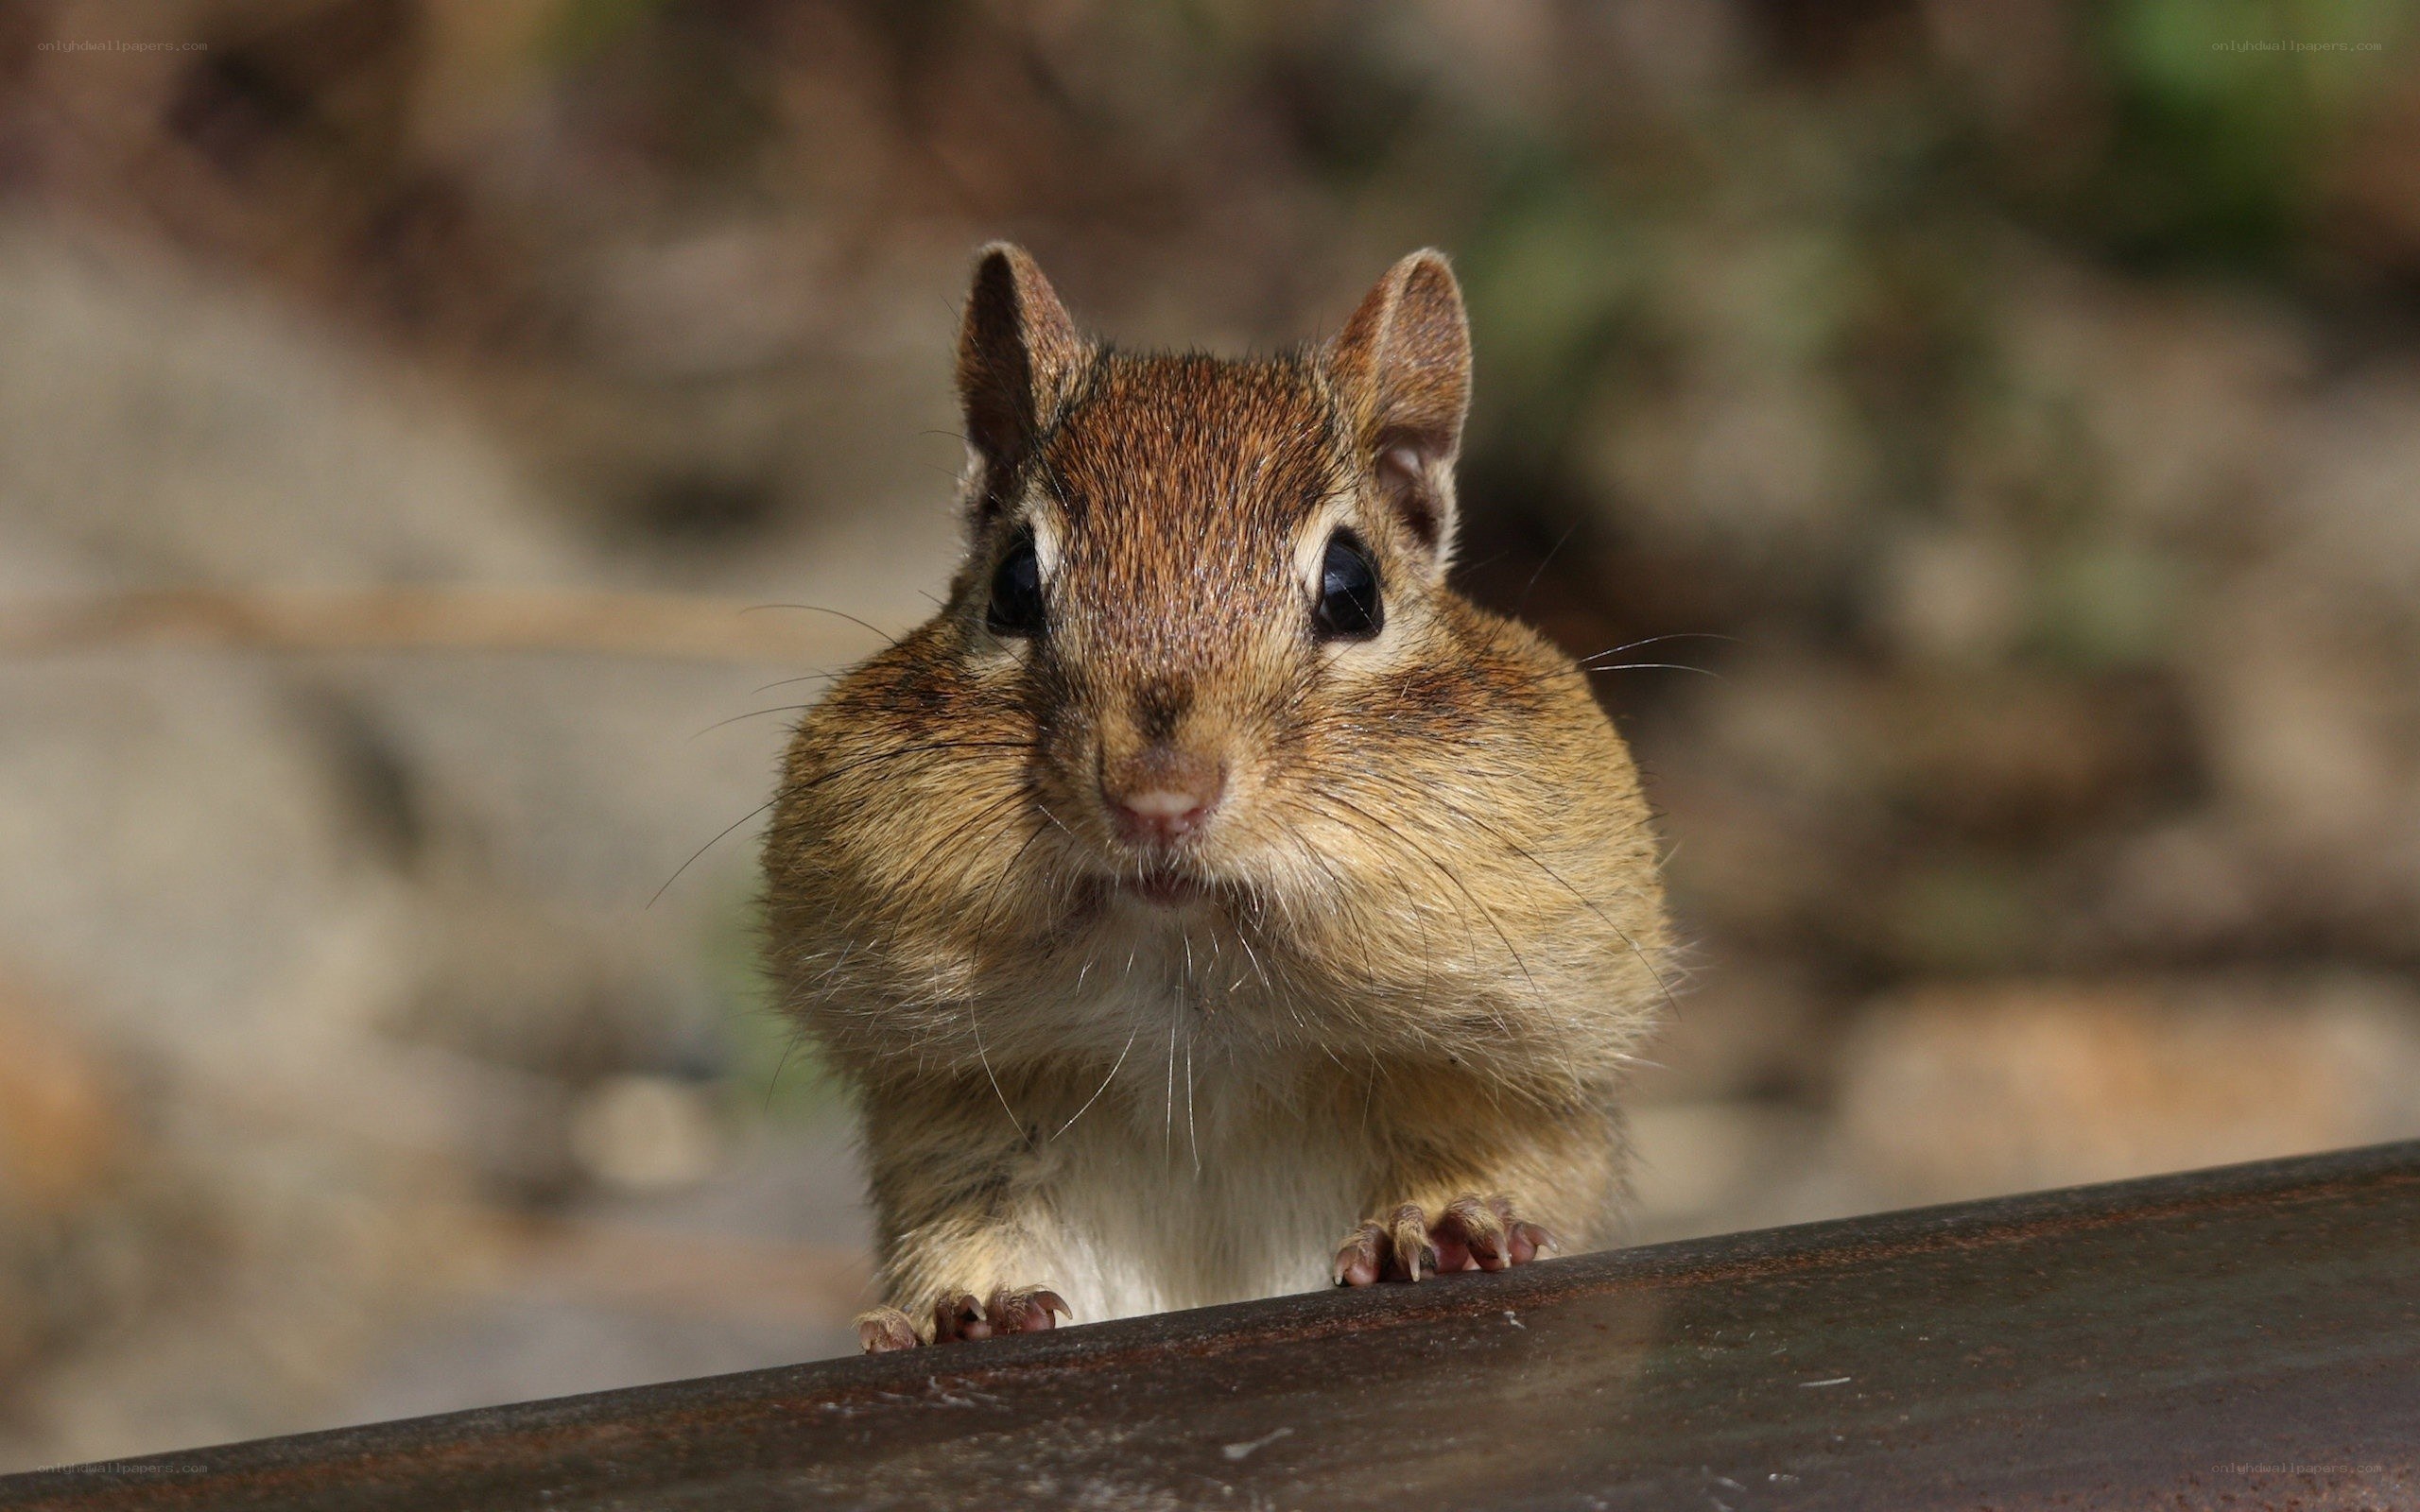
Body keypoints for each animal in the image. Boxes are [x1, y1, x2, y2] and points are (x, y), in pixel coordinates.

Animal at [761, 244, 1667, 1351]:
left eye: (1353, 587)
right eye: (1013, 583)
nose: (1158, 799)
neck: (1195, 1016)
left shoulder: (1510, 1081)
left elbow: (1501, 1165)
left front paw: (1444, 1225)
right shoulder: (960, 1129)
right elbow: (970, 1229)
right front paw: (960, 1308)